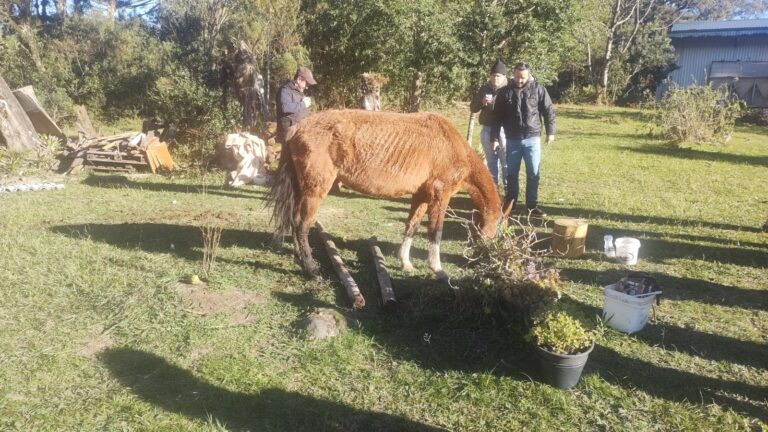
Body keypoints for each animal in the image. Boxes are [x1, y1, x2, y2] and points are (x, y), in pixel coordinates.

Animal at [267, 109, 503, 280]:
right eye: (497, 223)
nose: (488, 253)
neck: (450, 144)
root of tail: (298, 127)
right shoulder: (440, 196)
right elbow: (435, 232)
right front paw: (437, 268)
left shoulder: (421, 196)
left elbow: (412, 226)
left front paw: (405, 262)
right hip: (315, 191)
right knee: (302, 225)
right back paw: (312, 269)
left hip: (302, 189)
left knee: (294, 221)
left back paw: (300, 258)